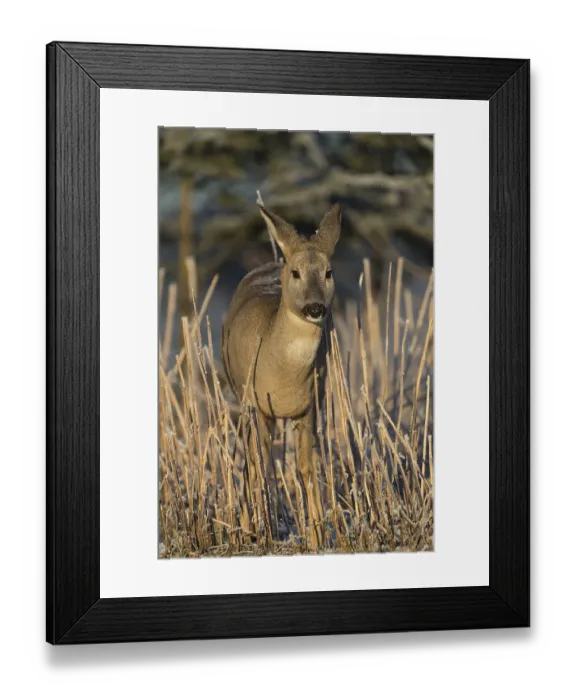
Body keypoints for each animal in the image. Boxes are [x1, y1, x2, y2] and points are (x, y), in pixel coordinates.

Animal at [221, 203, 341, 549]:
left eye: (328, 272)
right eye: (296, 272)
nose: (315, 308)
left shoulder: (310, 404)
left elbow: (306, 467)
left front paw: (317, 537)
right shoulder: (256, 404)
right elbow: (261, 464)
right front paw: (265, 533)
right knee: (250, 461)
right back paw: (250, 526)